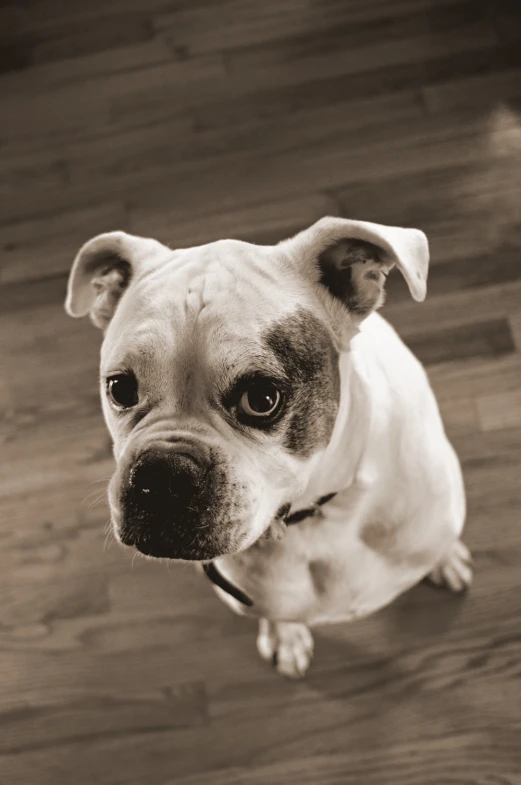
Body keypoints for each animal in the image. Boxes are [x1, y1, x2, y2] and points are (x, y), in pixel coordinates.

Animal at [65, 216, 472, 680]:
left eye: (261, 398)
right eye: (120, 389)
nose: (162, 473)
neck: (318, 518)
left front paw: (447, 559)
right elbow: (279, 614)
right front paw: (286, 636)